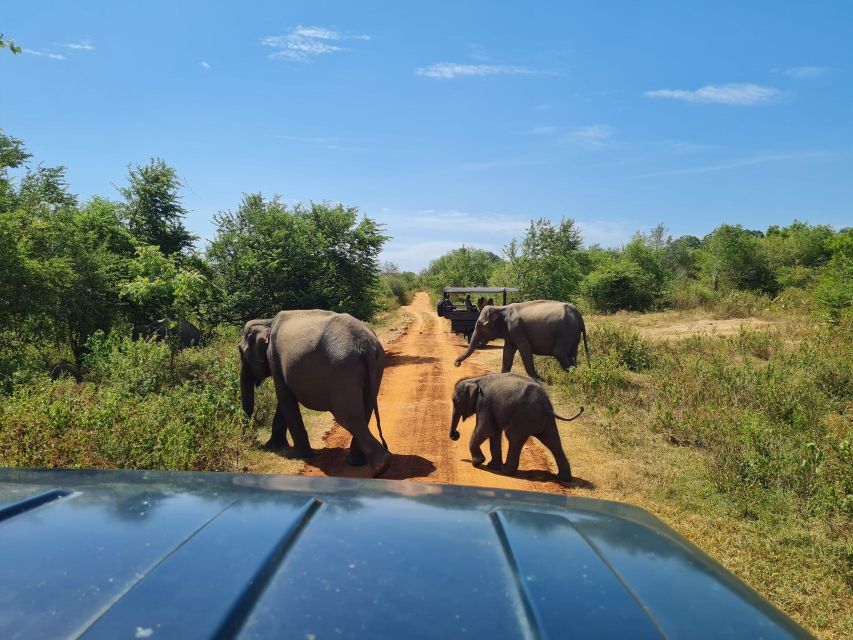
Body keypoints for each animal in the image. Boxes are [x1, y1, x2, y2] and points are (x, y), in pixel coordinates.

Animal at [236, 308, 390, 478]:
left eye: (240, 351)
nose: (253, 441)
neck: (266, 322)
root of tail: (365, 343)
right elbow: (285, 399)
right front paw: (274, 447)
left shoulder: (274, 356)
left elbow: (284, 396)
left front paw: (296, 454)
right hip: (376, 364)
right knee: (364, 411)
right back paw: (360, 463)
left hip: (343, 370)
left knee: (347, 417)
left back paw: (381, 466)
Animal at [450, 372, 584, 482]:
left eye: (455, 401)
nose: (456, 435)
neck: (475, 379)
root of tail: (546, 404)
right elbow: (494, 433)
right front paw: (491, 466)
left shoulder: (484, 402)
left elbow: (486, 430)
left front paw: (478, 463)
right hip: (544, 420)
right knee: (553, 441)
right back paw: (563, 478)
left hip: (523, 415)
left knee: (513, 437)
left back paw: (506, 471)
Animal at [452, 300, 584, 380]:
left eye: (479, 324)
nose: (456, 364)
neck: (501, 308)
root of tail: (578, 313)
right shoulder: (510, 333)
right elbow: (507, 351)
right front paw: (502, 377)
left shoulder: (516, 328)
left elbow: (525, 348)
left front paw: (539, 379)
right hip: (574, 336)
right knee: (571, 355)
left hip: (567, 333)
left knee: (559, 352)